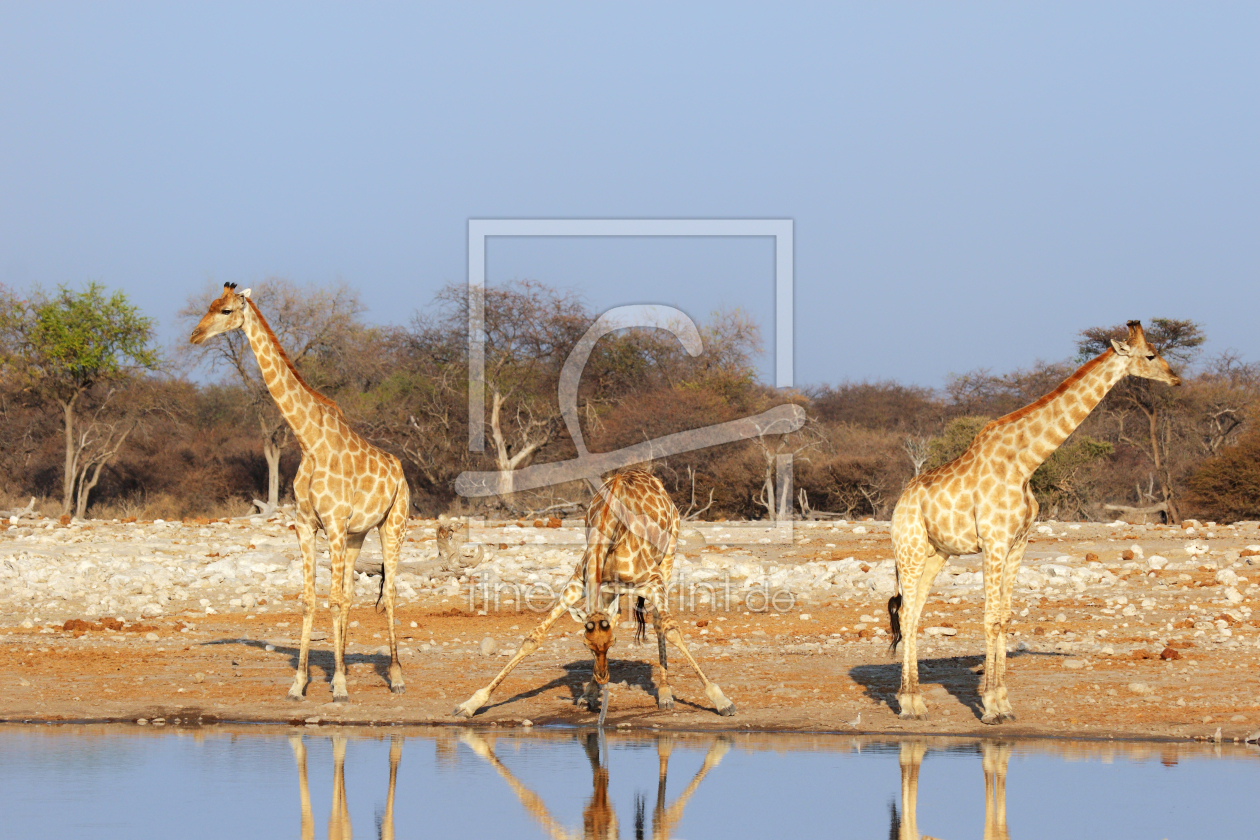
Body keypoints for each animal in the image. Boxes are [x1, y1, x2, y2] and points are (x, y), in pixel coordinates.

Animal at [186, 282, 408, 705]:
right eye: (208, 306)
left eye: (225, 311)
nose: (195, 335)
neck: (309, 441)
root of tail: (401, 472)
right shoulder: (307, 525)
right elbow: (310, 600)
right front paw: (301, 682)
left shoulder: (333, 524)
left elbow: (332, 600)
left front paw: (340, 687)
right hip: (357, 534)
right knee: (350, 594)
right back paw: (346, 669)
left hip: (394, 525)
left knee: (389, 594)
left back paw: (396, 676)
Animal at [453, 471, 735, 720]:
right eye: (586, 646)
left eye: (612, 644)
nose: (603, 677)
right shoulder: (579, 582)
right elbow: (533, 638)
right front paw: (470, 705)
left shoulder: (652, 581)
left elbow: (672, 630)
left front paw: (722, 701)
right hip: (611, 588)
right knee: (619, 615)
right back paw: (589, 694)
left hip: (668, 556)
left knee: (658, 623)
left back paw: (664, 694)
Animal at [892, 322, 1174, 725]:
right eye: (1150, 355)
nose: (1175, 377)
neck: (1025, 465)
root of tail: (900, 503)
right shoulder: (994, 542)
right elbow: (991, 618)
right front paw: (990, 707)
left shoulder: (1018, 543)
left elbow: (1005, 617)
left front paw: (1003, 703)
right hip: (909, 549)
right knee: (904, 612)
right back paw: (907, 703)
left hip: (936, 554)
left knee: (912, 613)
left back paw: (914, 702)